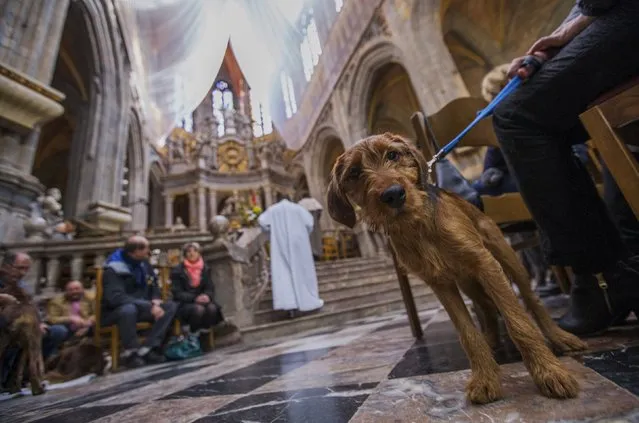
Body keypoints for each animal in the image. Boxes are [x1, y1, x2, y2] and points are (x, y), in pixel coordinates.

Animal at [330, 134, 592, 406]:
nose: (393, 195)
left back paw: (560, 337)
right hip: (467, 280)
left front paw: (549, 371)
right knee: (486, 307)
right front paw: (485, 377)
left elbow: (519, 323)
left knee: (532, 301)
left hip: (506, 259)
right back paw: (491, 340)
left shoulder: (485, 264)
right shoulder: (441, 284)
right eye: (354, 172)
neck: (418, 226)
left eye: (393, 155)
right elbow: (467, 332)